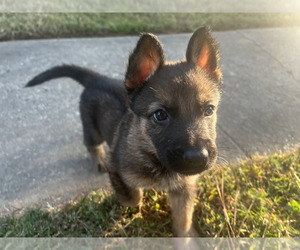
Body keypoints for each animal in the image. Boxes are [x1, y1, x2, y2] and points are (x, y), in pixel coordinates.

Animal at [25, 27, 221, 236]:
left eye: (209, 110)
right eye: (160, 114)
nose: (198, 158)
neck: (152, 155)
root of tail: (97, 79)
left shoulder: (184, 189)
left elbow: (183, 219)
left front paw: (186, 237)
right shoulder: (115, 168)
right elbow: (133, 197)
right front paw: (135, 197)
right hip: (93, 131)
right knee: (90, 143)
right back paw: (98, 159)